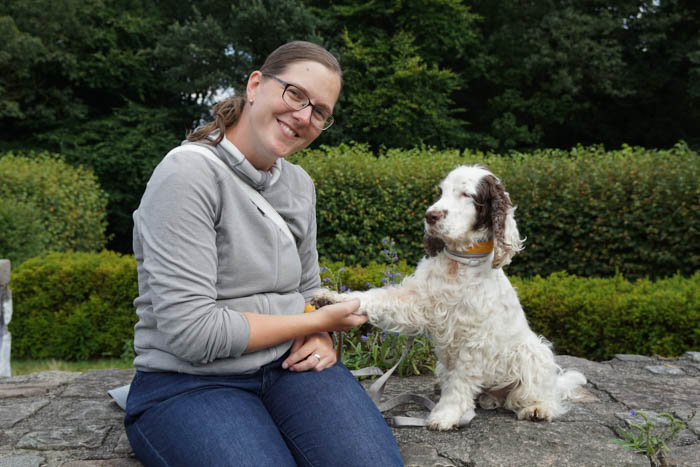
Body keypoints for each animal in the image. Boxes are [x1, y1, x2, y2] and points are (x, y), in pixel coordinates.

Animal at [314, 165, 586, 430]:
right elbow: (376, 298)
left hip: (533, 351)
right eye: (441, 191)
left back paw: (538, 408)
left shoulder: (473, 337)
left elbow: (461, 382)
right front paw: (331, 299)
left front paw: (445, 415)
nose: (430, 216)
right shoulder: (417, 299)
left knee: (538, 392)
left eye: (467, 194)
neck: (459, 263)